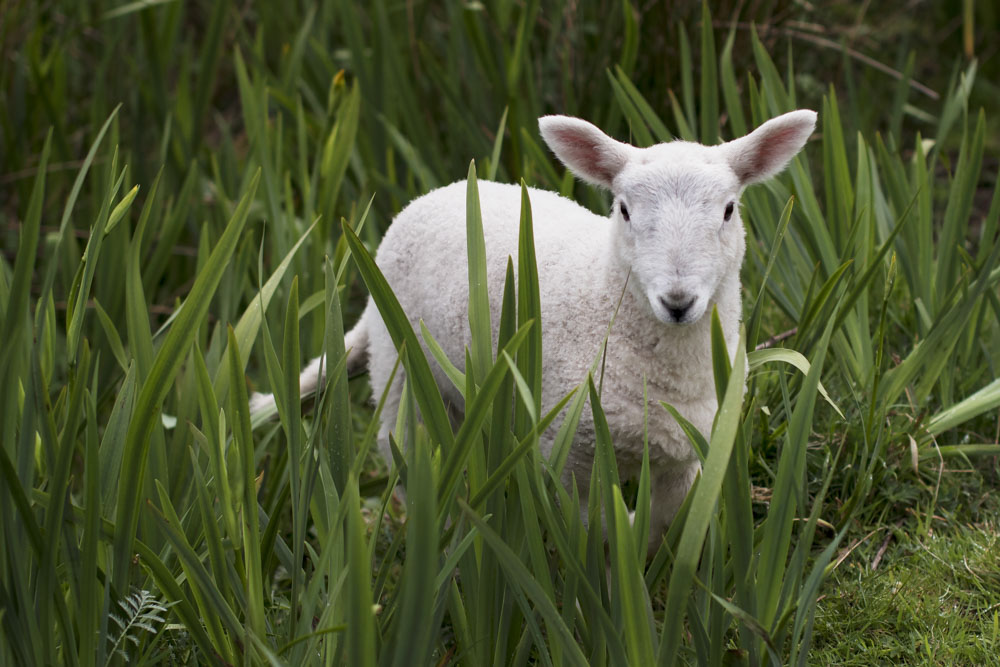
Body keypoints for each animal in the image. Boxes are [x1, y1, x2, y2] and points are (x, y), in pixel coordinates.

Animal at [248, 109, 812, 548]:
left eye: (729, 210)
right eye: (624, 210)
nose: (678, 302)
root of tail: (441, 191)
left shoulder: (689, 451)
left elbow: (660, 526)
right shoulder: (571, 450)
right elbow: (594, 532)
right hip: (401, 371)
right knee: (408, 460)